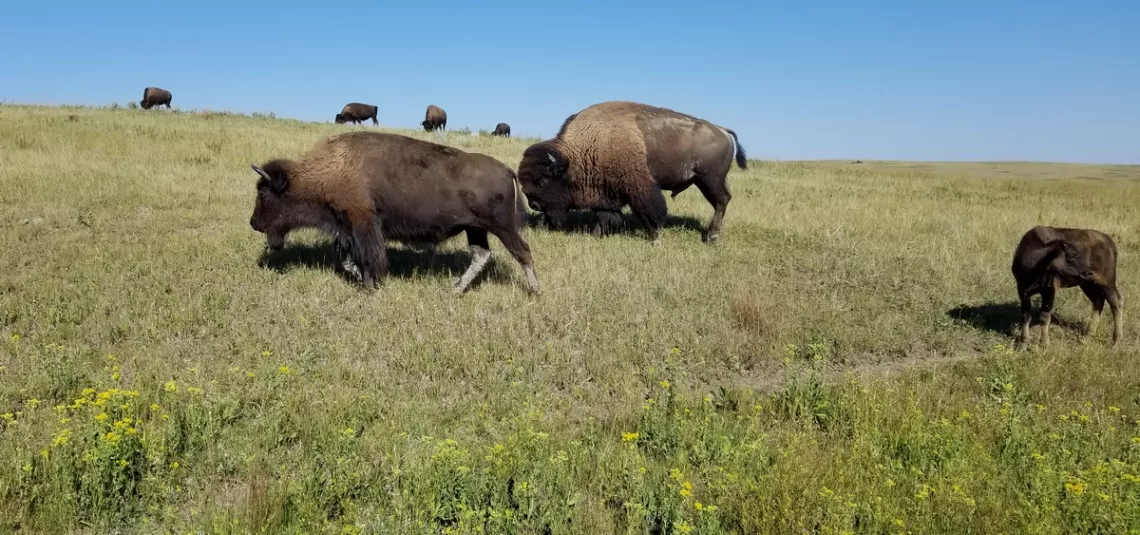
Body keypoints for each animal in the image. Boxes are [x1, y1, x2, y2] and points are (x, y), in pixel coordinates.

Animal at [247, 130, 540, 294]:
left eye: (263, 194)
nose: (253, 223)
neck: (329, 169)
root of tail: (507, 169)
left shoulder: (362, 224)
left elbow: (368, 257)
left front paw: (368, 287)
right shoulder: (345, 229)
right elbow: (348, 259)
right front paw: (361, 280)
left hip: (501, 227)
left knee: (522, 251)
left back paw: (535, 291)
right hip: (475, 229)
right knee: (481, 255)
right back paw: (455, 290)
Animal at [517, 100, 747, 241]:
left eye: (543, 180)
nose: (533, 204)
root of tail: (722, 130)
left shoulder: (638, 185)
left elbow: (649, 210)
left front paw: (655, 238)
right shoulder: (603, 192)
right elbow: (602, 216)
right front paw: (597, 235)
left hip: (710, 179)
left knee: (721, 201)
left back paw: (712, 237)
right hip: (707, 181)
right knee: (722, 200)